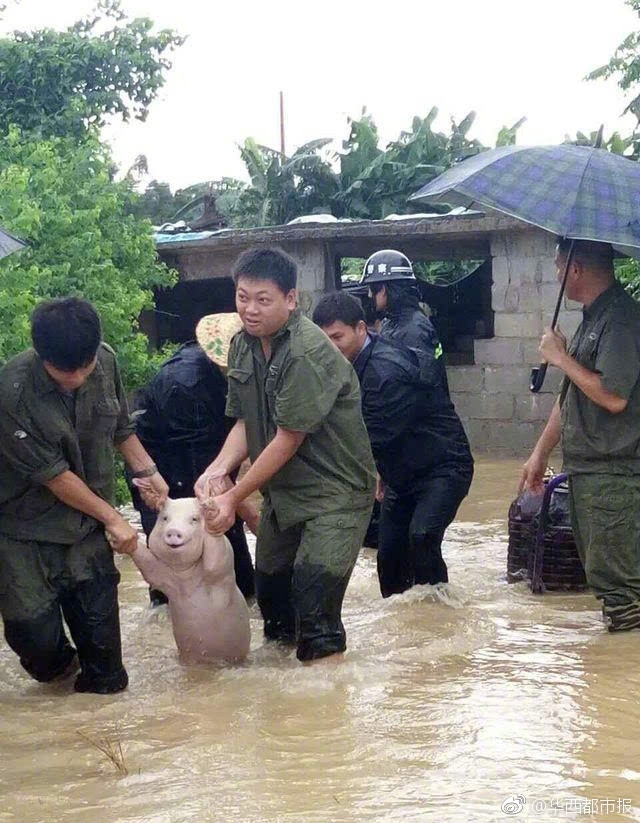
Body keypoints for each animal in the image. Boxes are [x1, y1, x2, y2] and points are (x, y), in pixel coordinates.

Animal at [129, 496, 250, 664]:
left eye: (194, 519)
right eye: (165, 518)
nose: (173, 531)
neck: (185, 577)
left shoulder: (222, 570)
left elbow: (215, 562)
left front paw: (208, 505)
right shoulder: (163, 577)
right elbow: (149, 567)